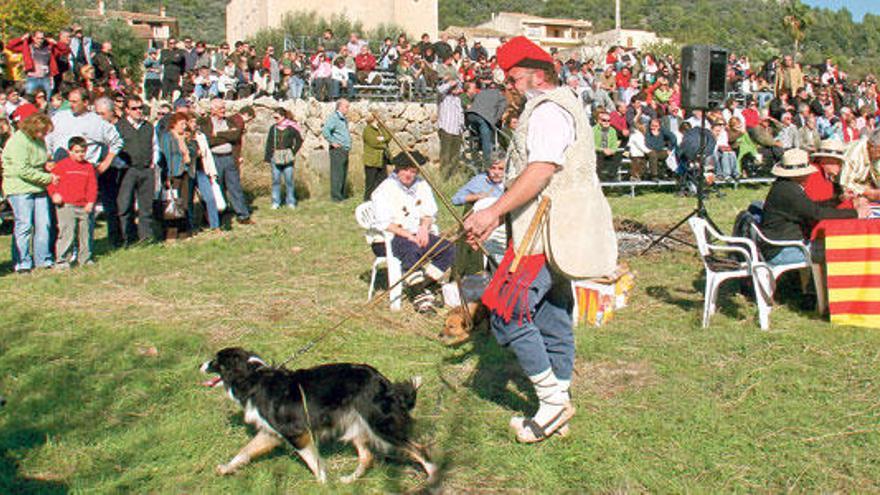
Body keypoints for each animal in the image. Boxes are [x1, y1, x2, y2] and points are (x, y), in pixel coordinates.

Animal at [199, 348, 434, 484]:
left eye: (215, 361)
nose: (200, 365)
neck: (253, 379)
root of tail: (383, 381)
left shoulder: (296, 433)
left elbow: (313, 462)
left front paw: (322, 483)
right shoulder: (270, 433)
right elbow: (244, 452)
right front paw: (226, 468)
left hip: (379, 425)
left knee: (420, 450)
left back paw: (432, 480)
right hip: (356, 423)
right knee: (367, 457)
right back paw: (349, 480)